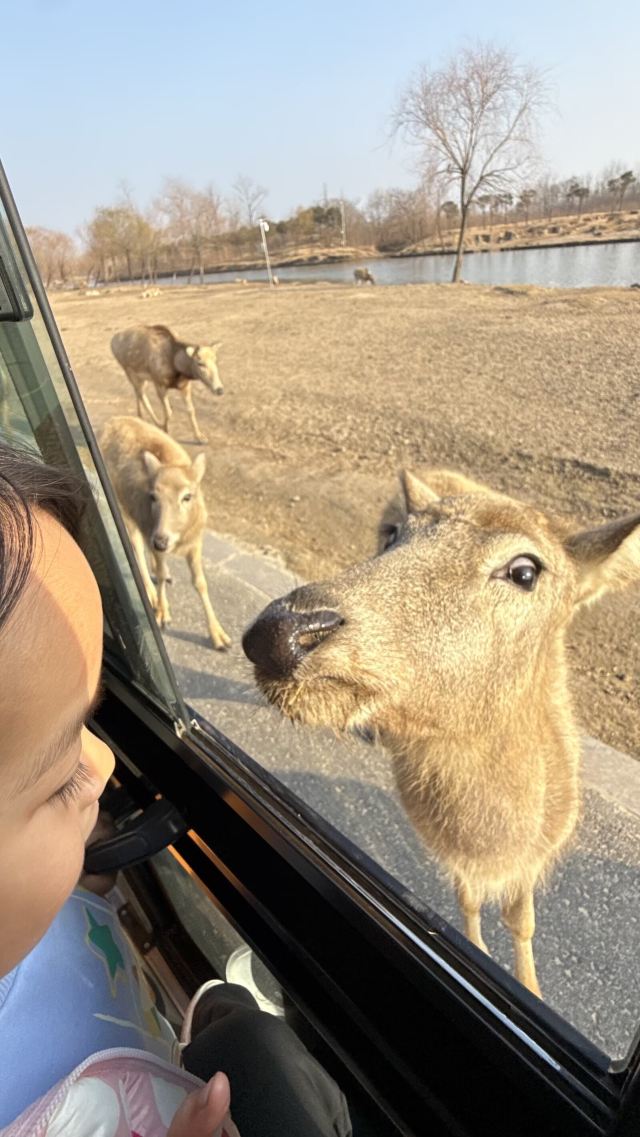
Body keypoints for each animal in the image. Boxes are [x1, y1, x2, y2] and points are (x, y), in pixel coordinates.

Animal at [100, 415, 230, 650]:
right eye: (153, 496)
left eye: (188, 496)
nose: (161, 541)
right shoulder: (149, 529)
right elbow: (158, 571)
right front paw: (162, 613)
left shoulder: (195, 542)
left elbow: (200, 582)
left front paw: (219, 636)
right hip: (124, 509)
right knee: (136, 546)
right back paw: (151, 595)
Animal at [242, 468, 640, 996]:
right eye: (393, 534)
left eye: (525, 571)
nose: (281, 629)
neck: (492, 842)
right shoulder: (447, 851)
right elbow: (469, 904)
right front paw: (481, 950)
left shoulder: (537, 857)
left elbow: (522, 921)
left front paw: (531, 988)